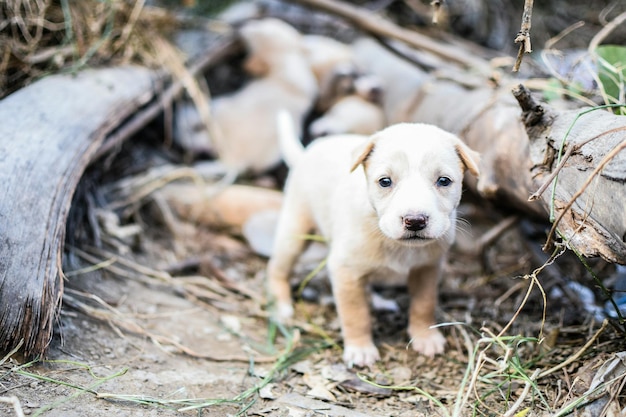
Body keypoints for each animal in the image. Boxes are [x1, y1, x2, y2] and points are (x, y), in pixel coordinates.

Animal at [264, 111, 478, 368]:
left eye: (444, 181)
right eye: (385, 181)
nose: (415, 221)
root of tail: (307, 152)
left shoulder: (427, 268)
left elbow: (424, 304)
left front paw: (425, 337)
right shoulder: (344, 270)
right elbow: (356, 314)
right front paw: (360, 348)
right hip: (294, 232)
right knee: (277, 268)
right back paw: (281, 305)